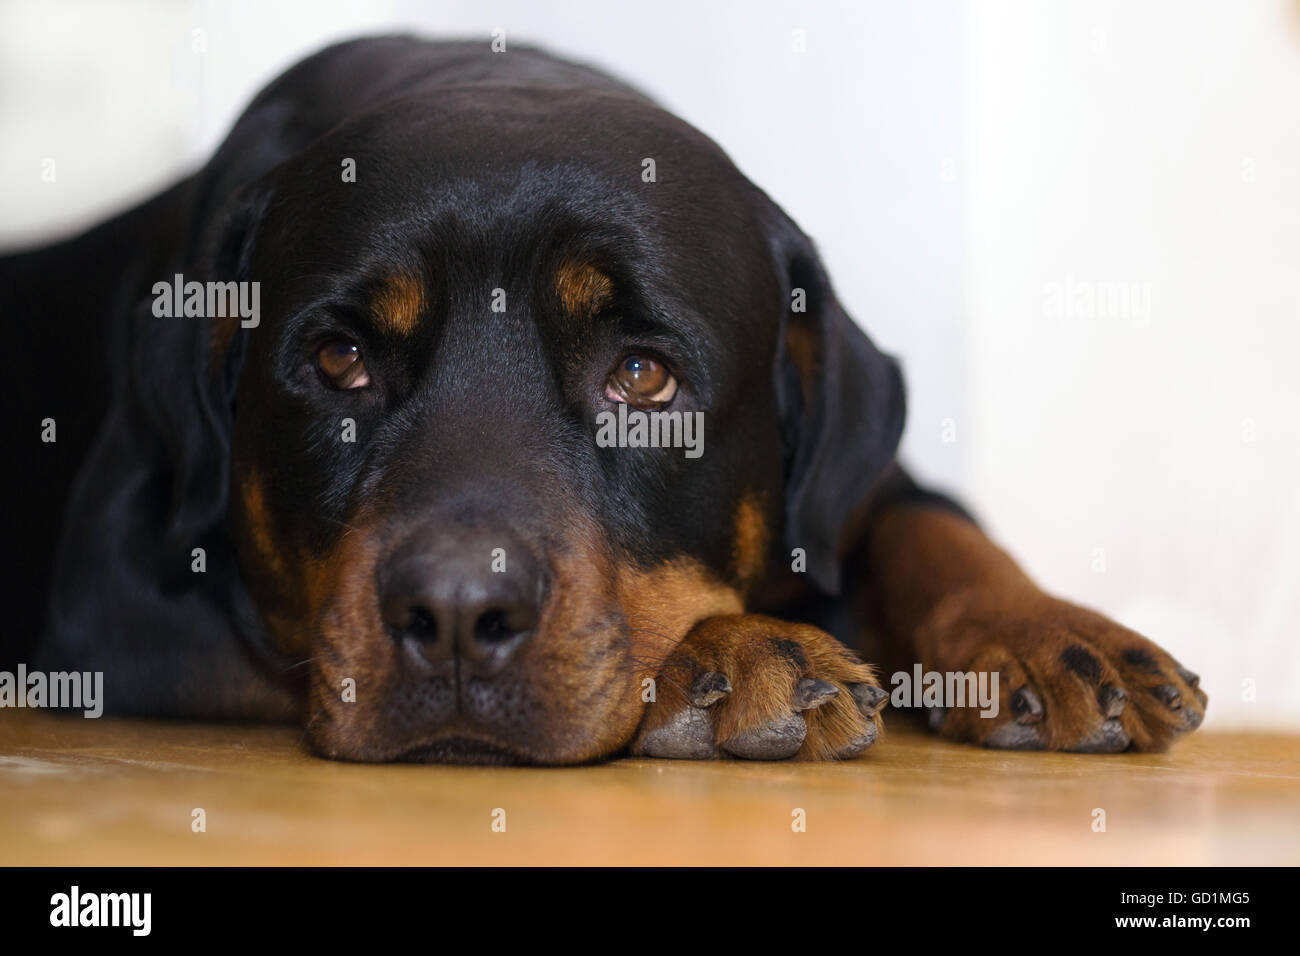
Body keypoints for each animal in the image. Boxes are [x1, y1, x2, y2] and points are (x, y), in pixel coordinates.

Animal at [0, 37, 1201, 764]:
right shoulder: (116, 603)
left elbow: (930, 525)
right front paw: (731, 654)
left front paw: (1049, 633)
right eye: (340, 361)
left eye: (641, 376)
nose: (455, 614)